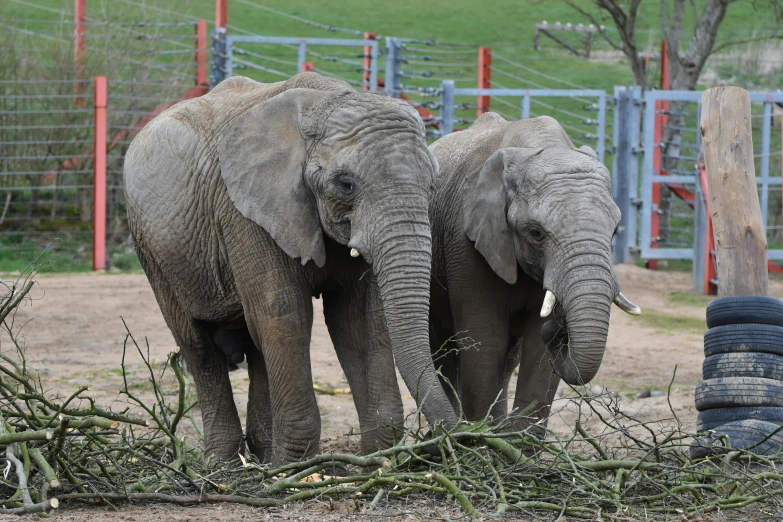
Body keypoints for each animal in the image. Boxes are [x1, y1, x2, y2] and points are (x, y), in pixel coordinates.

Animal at [125, 70, 460, 464]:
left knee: (256, 345)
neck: (323, 103)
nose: (448, 440)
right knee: (200, 347)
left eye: (432, 183)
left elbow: (358, 320)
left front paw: (377, 460)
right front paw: (297, 467)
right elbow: (284, 314)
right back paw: (226, 466)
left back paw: (263, 458)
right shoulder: (245, 213)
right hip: (152, 249)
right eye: (345, 184)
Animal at [428, 111, 644, 424]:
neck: (543, 147)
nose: (560, 326)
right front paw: (478, 438)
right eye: (536, 233)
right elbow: (484, 343)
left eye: (615, 231)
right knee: (442, 351)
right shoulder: (465, 239)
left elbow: (538, 357)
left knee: (508, 359)